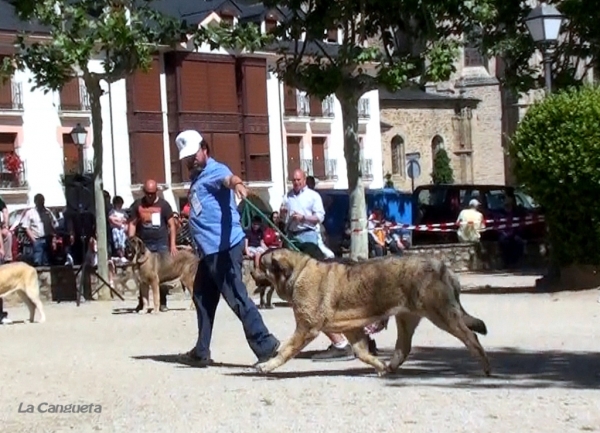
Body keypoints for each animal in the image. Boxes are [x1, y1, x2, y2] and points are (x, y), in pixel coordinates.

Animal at [254, 248, 492, 376]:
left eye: (262, 264)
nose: (250, 268)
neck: (298, 272)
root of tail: (445, 269)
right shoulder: (351, 327)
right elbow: (361, 352)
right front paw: (379, 365)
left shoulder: (306, 328)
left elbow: (286, 349)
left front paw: (267, 365)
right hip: (407, 317)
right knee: (403, 347)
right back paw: (391, 367)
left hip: (441, 314)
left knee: (470, 337)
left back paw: (485, 367)